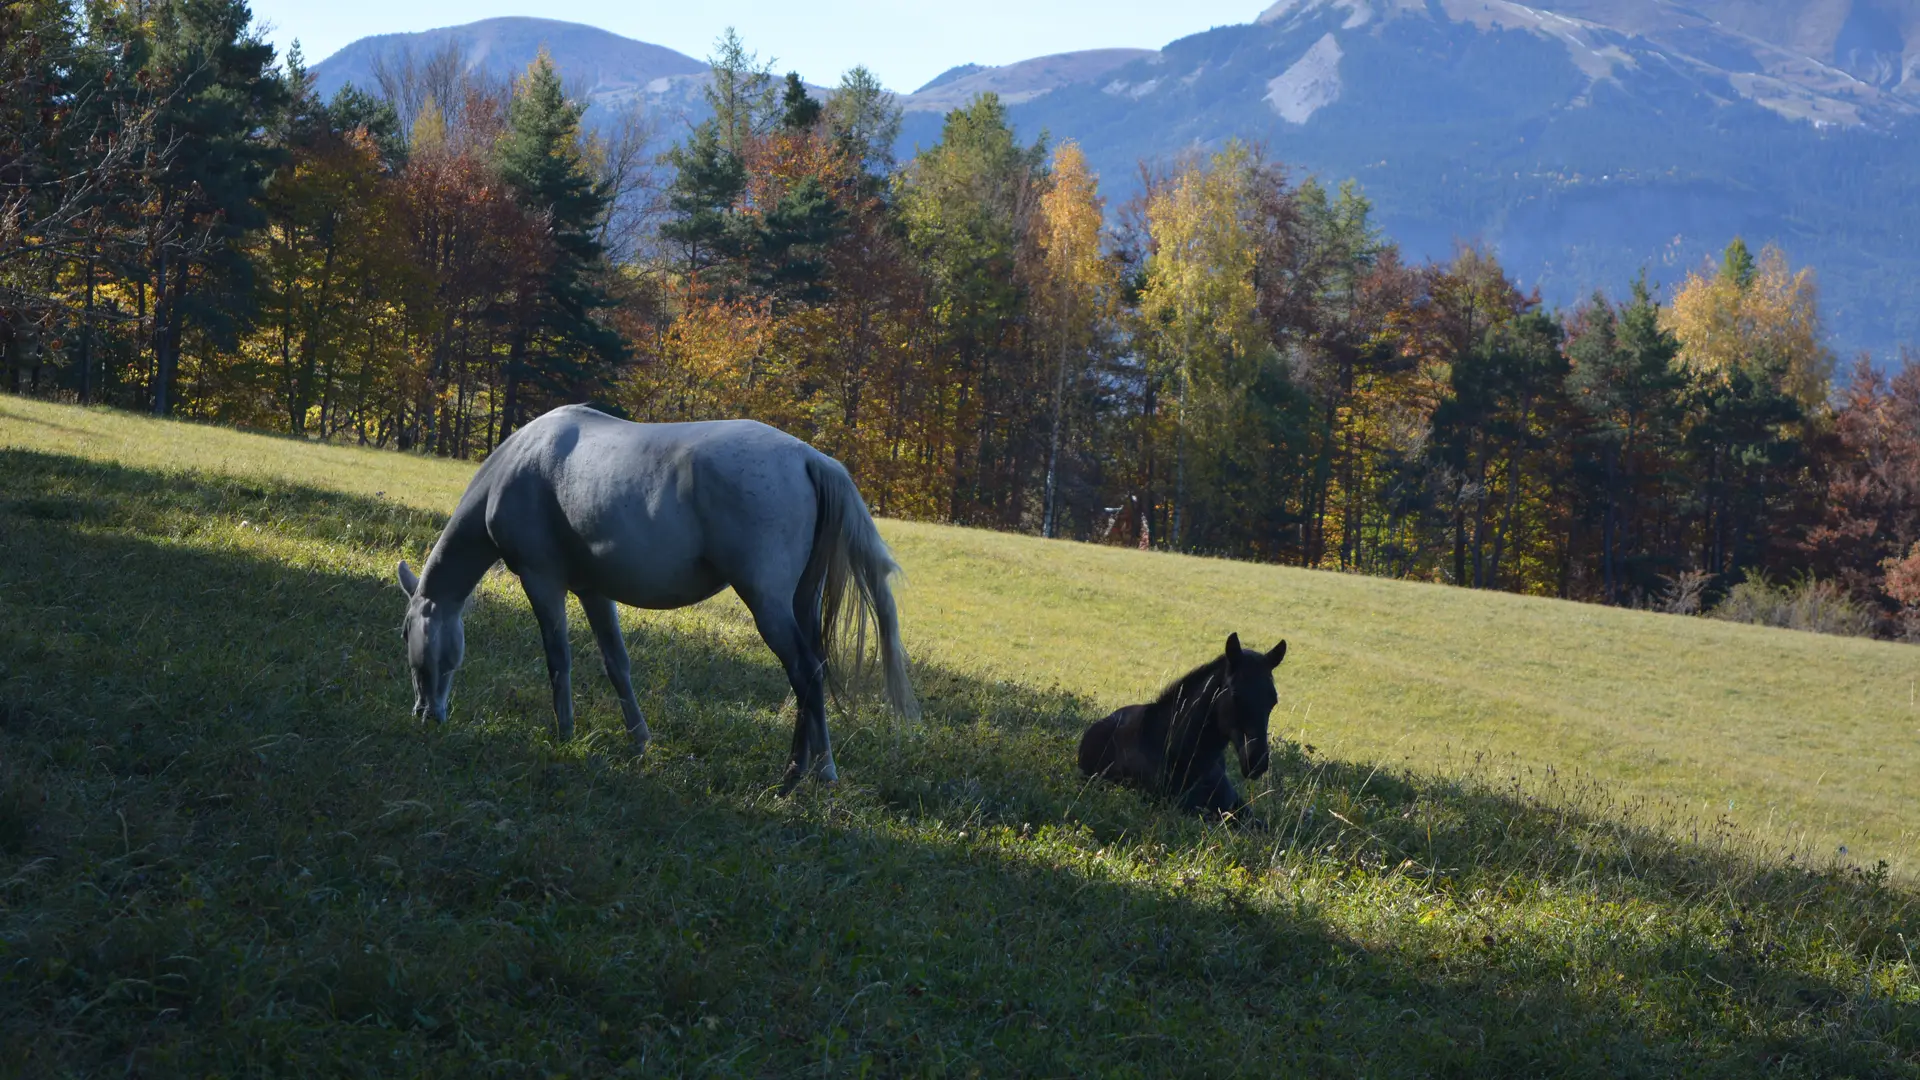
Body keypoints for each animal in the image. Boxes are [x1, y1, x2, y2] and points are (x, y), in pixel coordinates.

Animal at [393, 399, 917, 787]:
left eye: (404, 633)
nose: (424, 714)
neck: (519, 466)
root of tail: (810, 457)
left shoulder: (542, 582)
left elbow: (558, 660)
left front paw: (564, 734)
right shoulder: (593, 591)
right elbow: (617, 665)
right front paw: (640, 742)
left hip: (768, 604)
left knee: (805, 672)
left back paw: (797, 776)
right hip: (800, 601)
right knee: (815, 672)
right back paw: (818, 769)